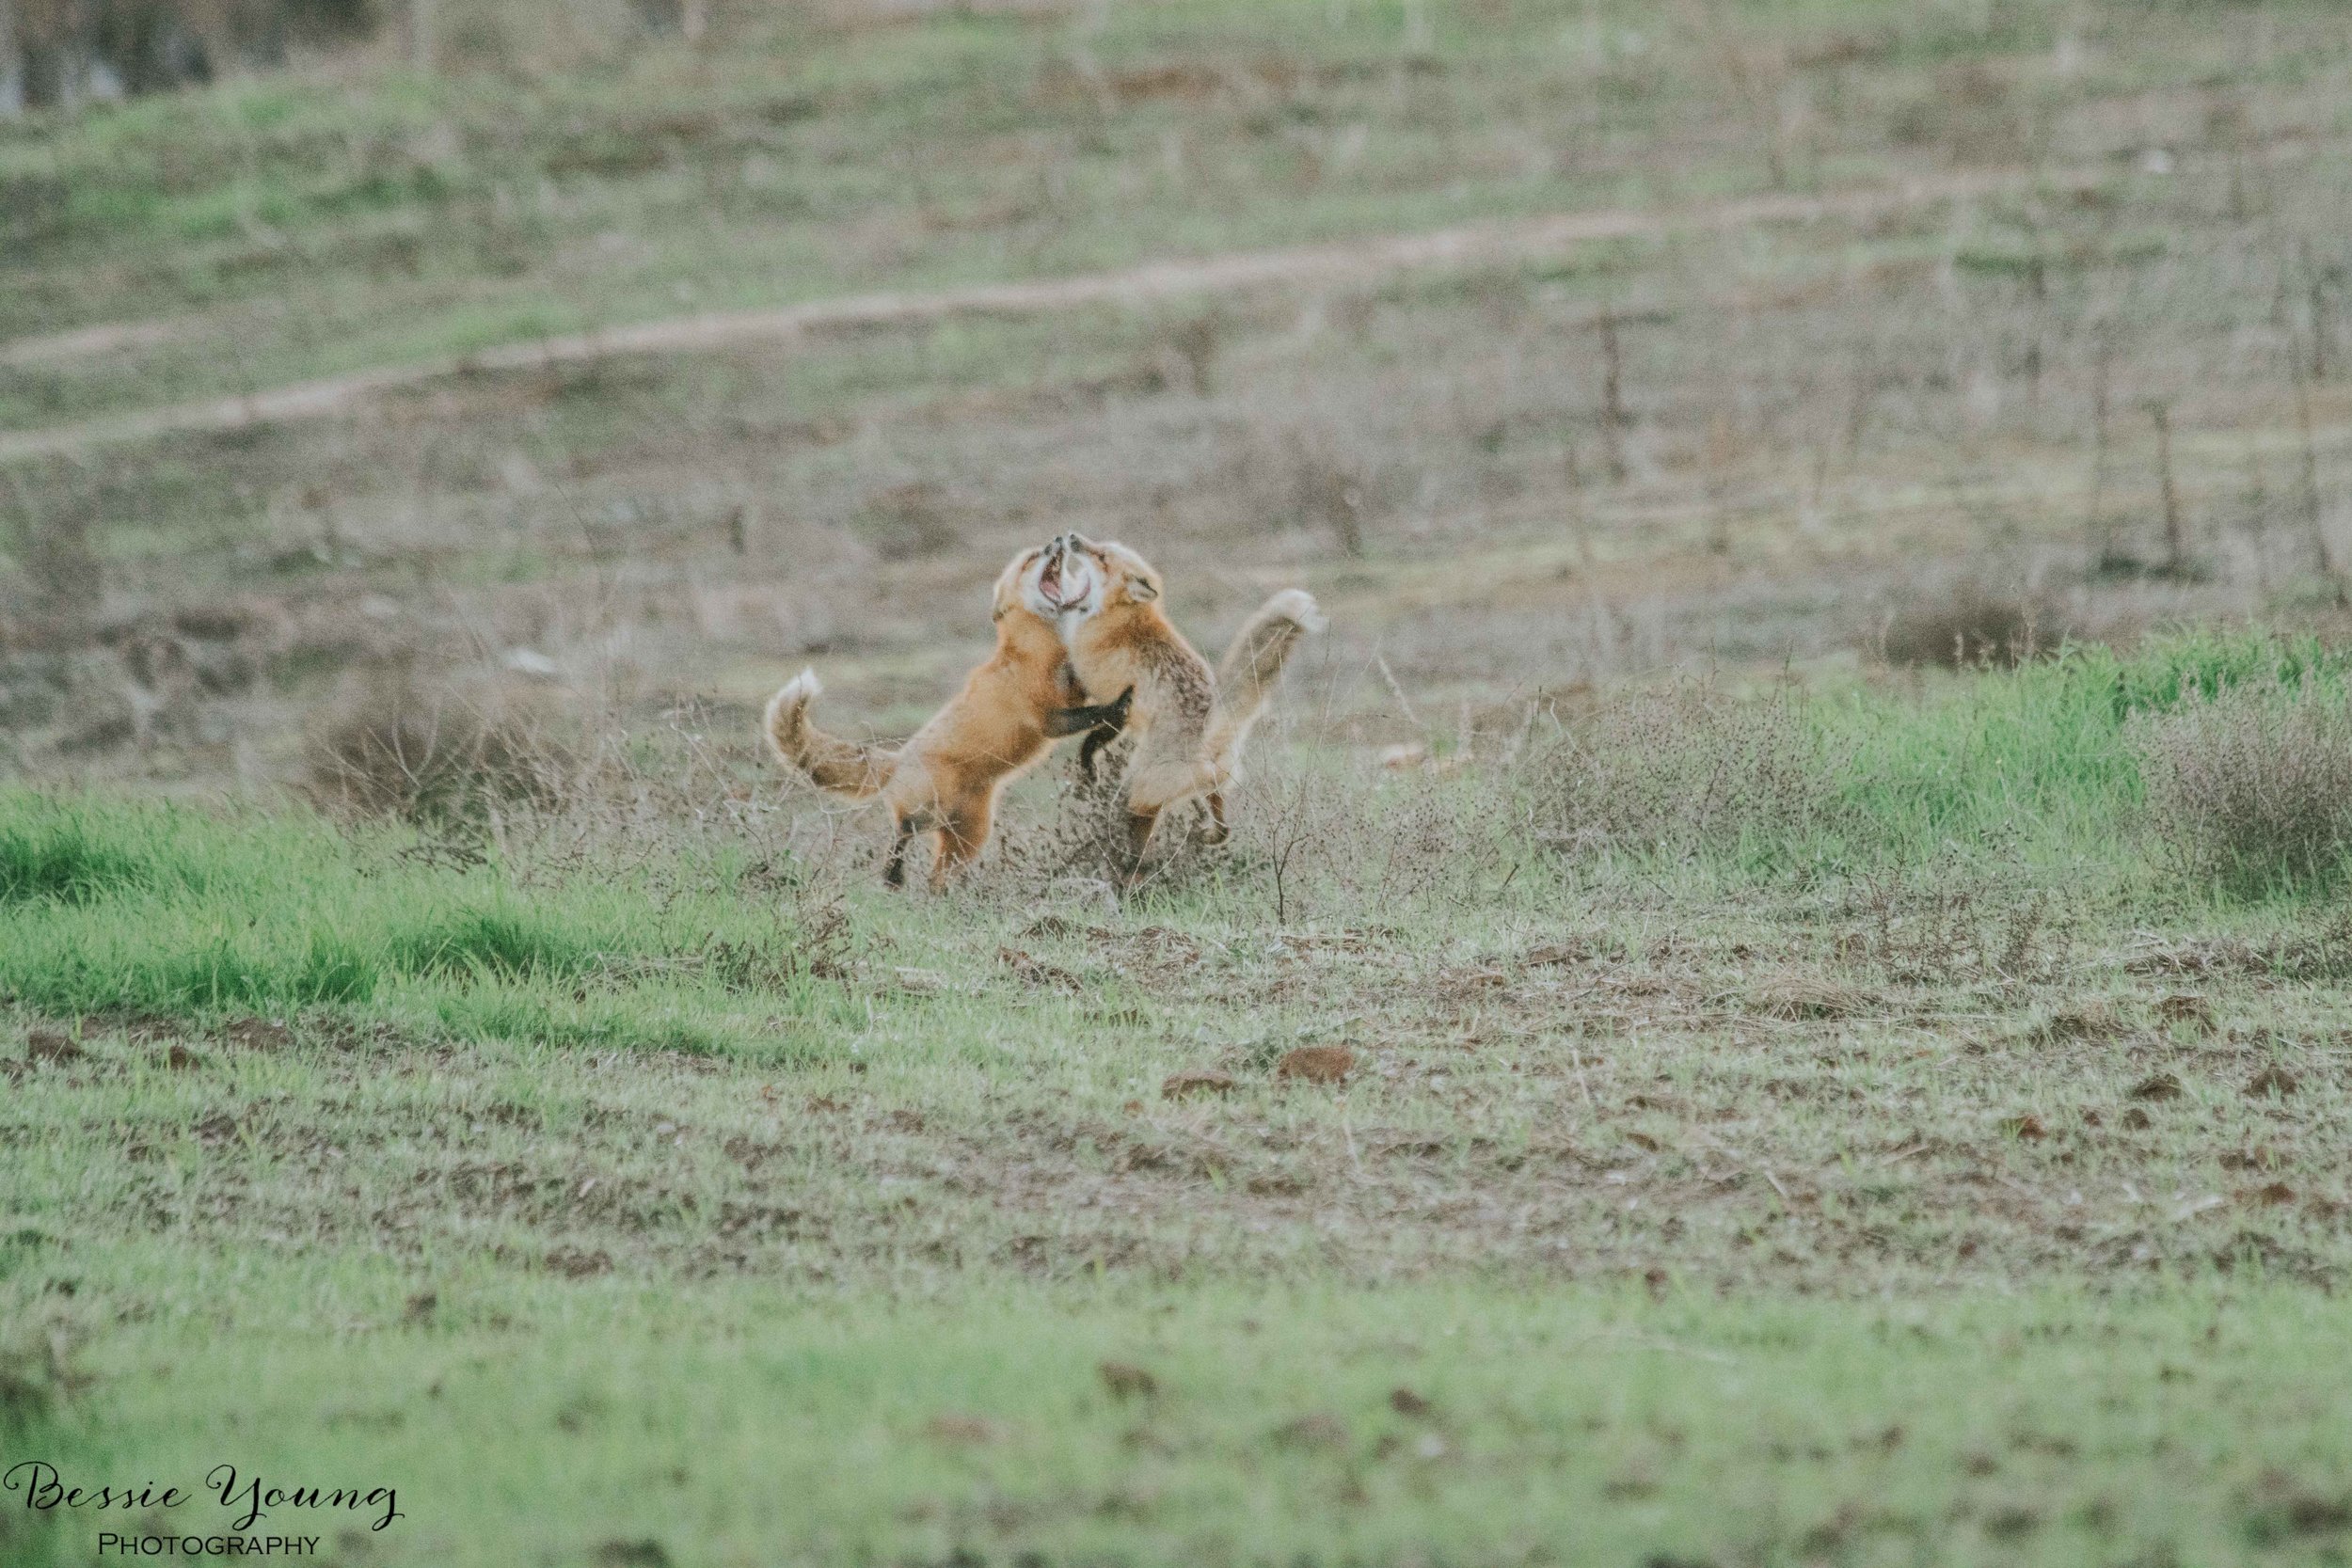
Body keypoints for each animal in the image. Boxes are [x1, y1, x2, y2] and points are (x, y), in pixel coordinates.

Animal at [767, 549, 1134, 893]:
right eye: (1030, 560)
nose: (1055, 542)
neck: (1039, 653)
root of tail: (898, 759)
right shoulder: (1048, 719)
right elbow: (1094, 712)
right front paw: (1120, 703)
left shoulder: (1069, 697)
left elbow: (1092, 702)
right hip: (927, 808)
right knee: (902, 830)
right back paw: (893, 875)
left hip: (970, 836)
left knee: (938, 874)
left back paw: (941, 896)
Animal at [1025, 535, 1336, 883]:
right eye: (1100, 546)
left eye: (1102, 556)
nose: (1070, 537)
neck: (1117, 618)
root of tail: (1212, 726)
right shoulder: (1121, 710)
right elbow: (1097, 737)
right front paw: (1088, 764)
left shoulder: (1108, 693)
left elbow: (1090, 723)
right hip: (1213, 785)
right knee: (1223, 826)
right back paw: (1205, 837)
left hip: (1139, 790)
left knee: (1140, 844)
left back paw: (1128, 875)